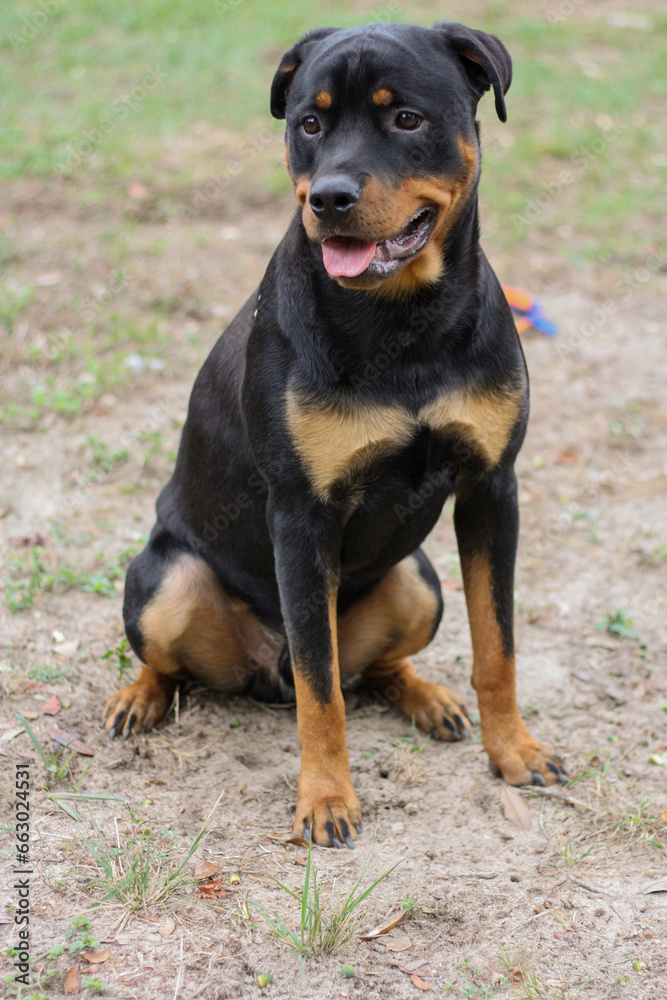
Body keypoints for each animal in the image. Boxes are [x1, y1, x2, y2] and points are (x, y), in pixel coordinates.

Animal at [104, 21, 568, 844]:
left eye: (406, 119)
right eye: (309, 124)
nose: (329, 197)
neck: (402, 321)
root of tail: (261, 673)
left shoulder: (492, 488)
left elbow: (498, 644)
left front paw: (513, 752)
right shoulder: (301, 513)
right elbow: (320, 689)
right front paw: (324, 800)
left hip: (417, 580)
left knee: (372, 670)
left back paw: (426, 698)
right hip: (166, 581)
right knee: (197, 663)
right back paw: (140, 697)